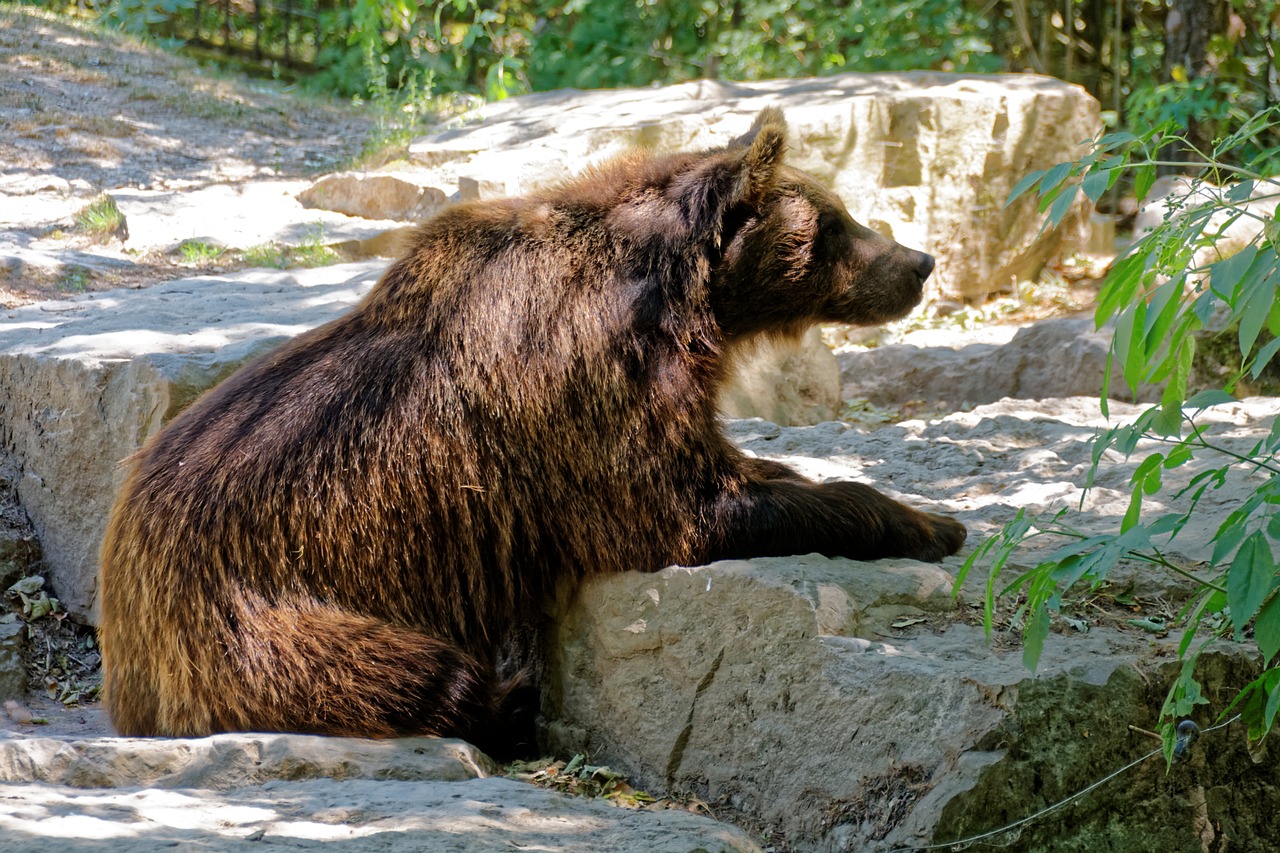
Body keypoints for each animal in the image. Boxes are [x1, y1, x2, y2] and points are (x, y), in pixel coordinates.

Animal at [97, 108, 962, 758]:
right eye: (836, 223)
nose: (919, 262)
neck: (677, 301)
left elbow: (740, 471)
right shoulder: (585, 390)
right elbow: (684, 507)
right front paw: (925, 521)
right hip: (254, 616)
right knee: (405, 671)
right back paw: (509, 690)